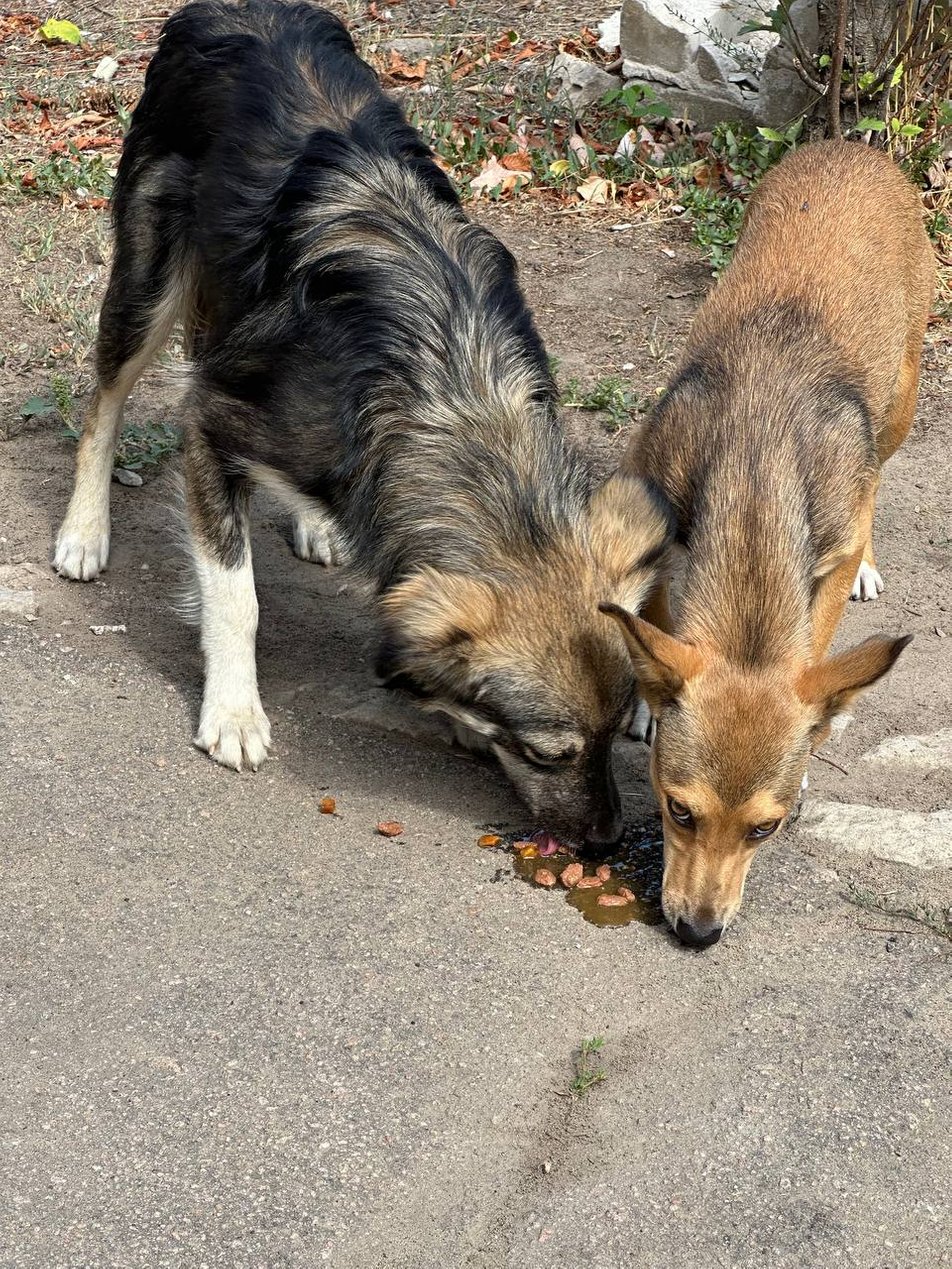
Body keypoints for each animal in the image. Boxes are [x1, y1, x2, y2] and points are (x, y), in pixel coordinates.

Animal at [52, 2, 670, 852]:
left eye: (619, 726)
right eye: (550, 751)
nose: (608, 839)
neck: (452, 395)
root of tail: (234, 10)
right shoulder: (212, 419)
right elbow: (236, 593)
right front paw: (234, 709)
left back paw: (316, 523)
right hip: (149, 279)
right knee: (103, 402)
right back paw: (83, 532)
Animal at [606, 144, 934, 949]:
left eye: (767, 829)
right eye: (678, 810)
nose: (697, 933)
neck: (755, 470)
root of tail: (855, 147)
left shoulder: (825, 563)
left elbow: (812, 651)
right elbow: (652, 612)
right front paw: (646, 702)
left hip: (897, 408)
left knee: (875, 481)